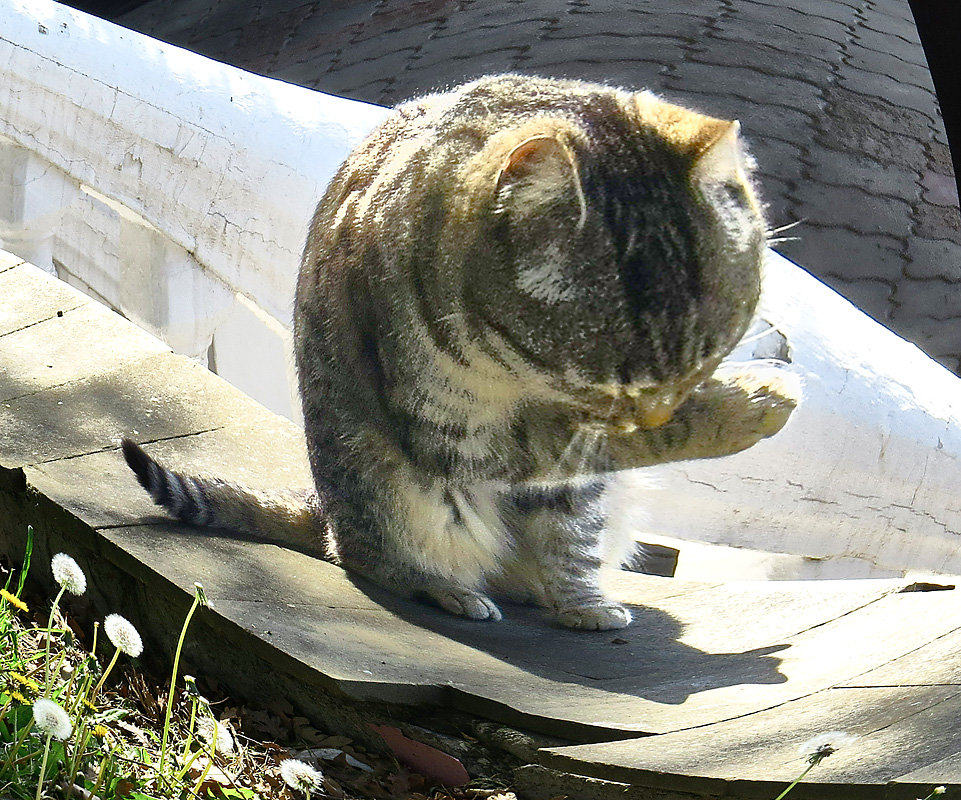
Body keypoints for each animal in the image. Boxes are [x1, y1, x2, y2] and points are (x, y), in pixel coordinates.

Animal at [124, 78, 800, 636]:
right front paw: (744, 409)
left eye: (704, 358)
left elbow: (574, 525)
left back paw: (569, 600)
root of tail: (326, 513)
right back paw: (448, 588)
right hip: (393, 494)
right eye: (608, 380)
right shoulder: (452, 431)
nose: (660, 411)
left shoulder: (572, 470)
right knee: (368, 556)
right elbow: (586, 442)